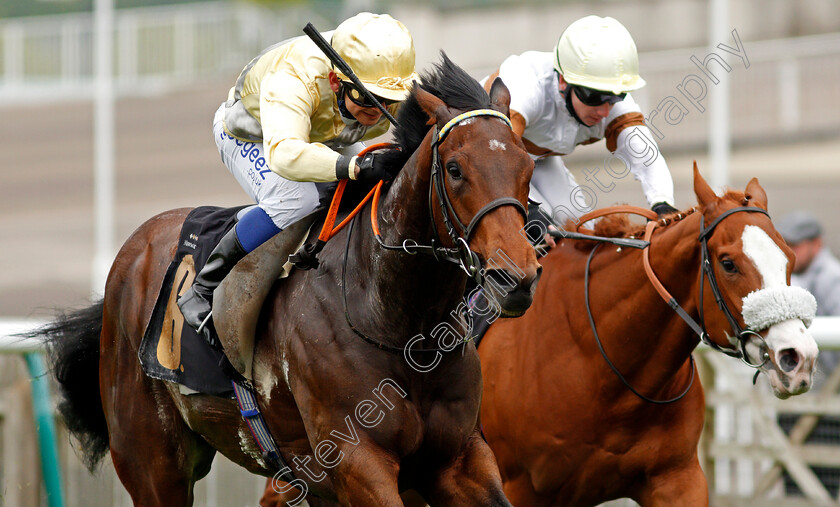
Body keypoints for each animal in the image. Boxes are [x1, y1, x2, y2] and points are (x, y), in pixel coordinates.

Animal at [37, 53, 540, 506]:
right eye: (455, 169)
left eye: (528, 167)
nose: (515, 277)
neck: (397, 324)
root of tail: (130, 255)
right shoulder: (357, 462)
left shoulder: (460, 459)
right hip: (153, 467)